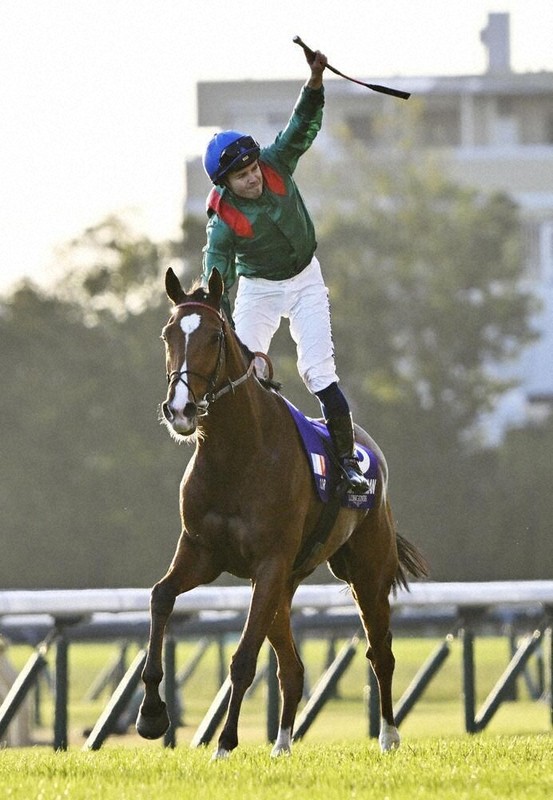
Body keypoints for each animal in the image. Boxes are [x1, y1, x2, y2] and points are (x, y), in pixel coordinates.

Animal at [136, 266, 428, 758]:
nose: (180, 409)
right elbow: (160, 597)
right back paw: (282, 743)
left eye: (214, 336)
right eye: (168, 333)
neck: (236, 453)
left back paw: (388, 735)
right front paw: (152, 714)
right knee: (292, 669)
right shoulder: (201, 553)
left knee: (380, 653)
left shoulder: (269, 563)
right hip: (285, 585)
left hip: (365, 572)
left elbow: (242, 659)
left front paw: (225, 743)